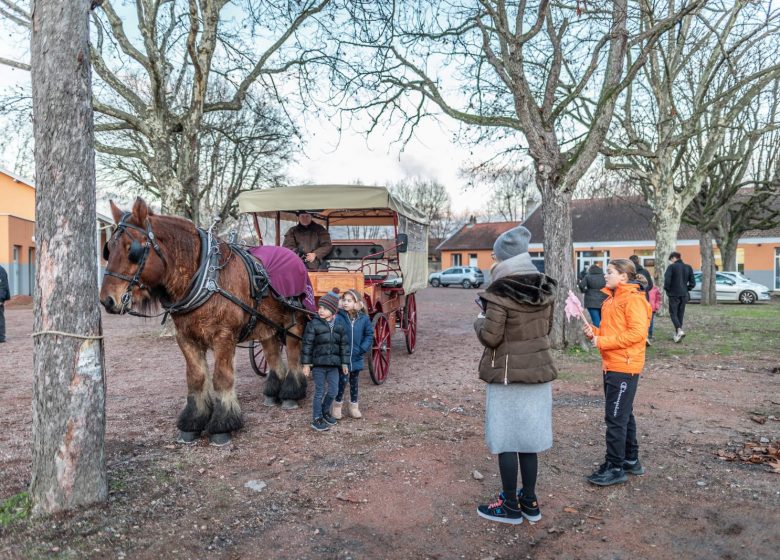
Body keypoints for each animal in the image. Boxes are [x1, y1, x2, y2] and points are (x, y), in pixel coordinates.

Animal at [96, 199, 304, 444]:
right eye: (109, 249)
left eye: (133, 250)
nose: (107, 300)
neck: (206, 278)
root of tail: (296, 256)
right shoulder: (186, 338)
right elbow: (195, 378)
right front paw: (193, 422)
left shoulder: (224, 337)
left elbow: (221, 378)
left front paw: (223, 424)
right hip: (266, 324)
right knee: (272, 352)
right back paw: (273, 392)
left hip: (294, 321)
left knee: (293, 353)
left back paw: (292, 393)